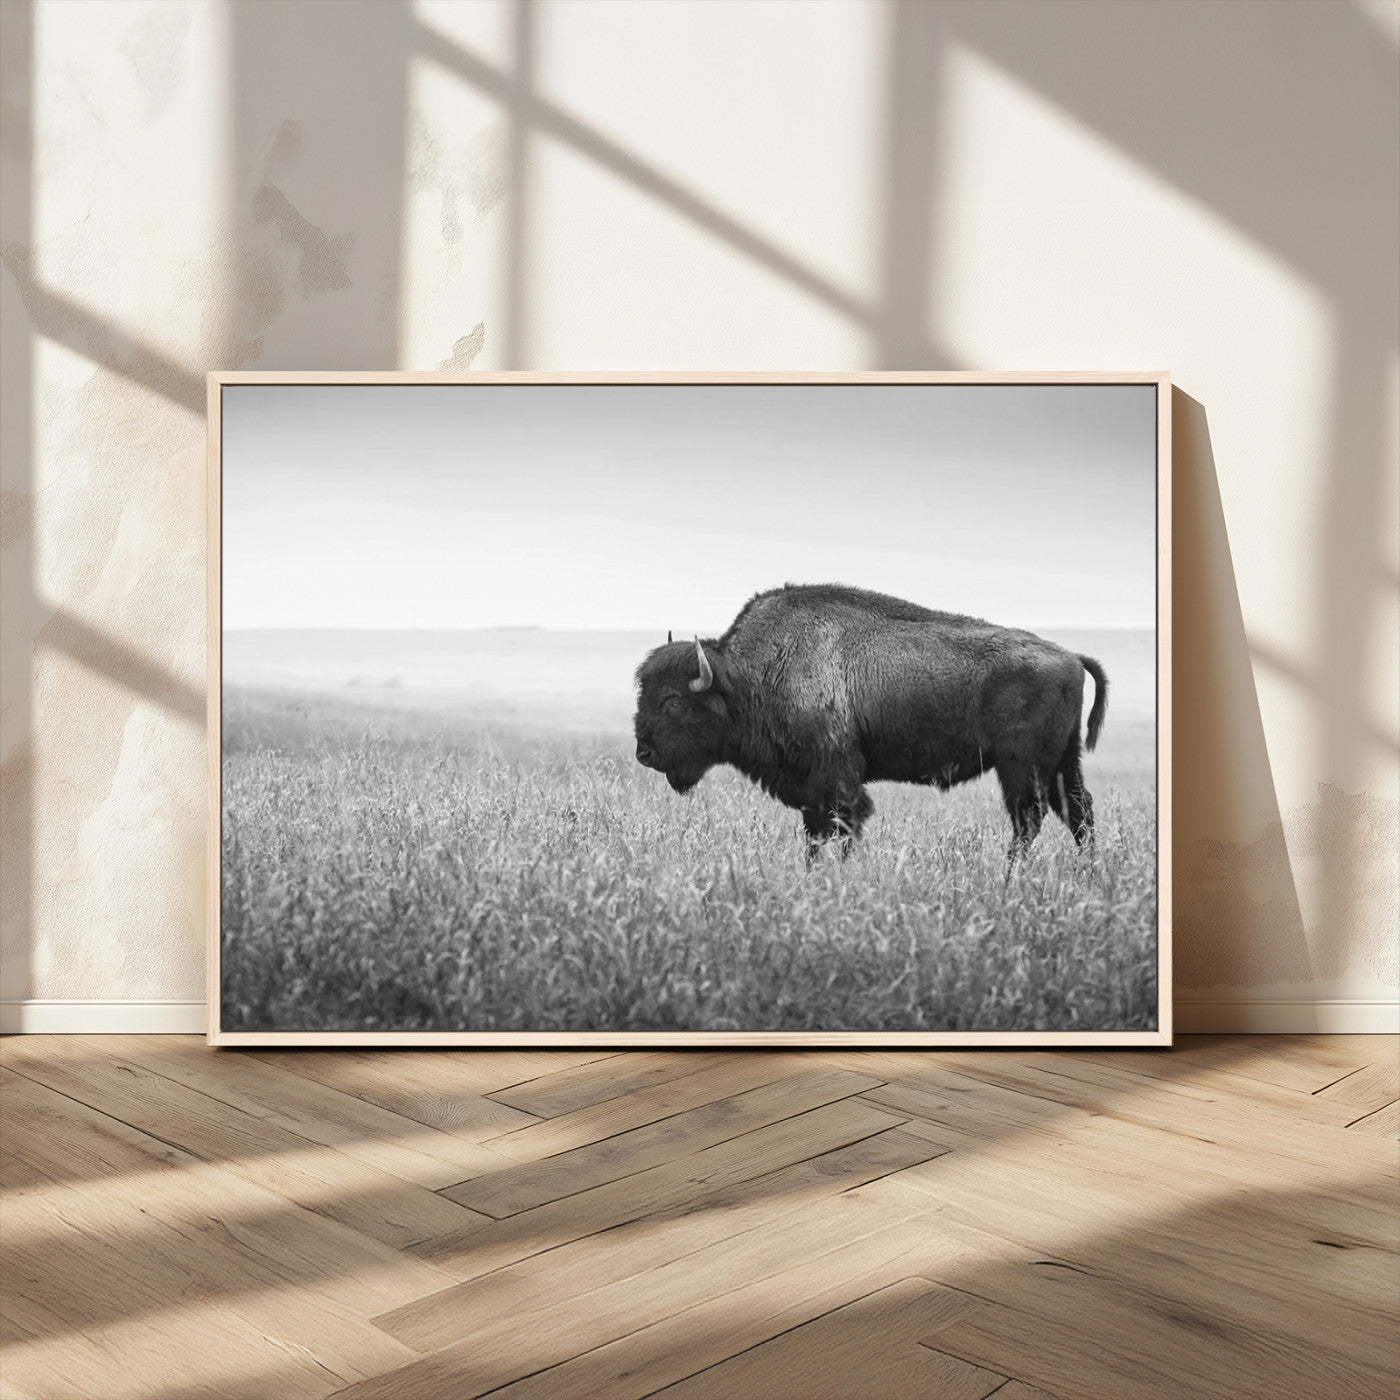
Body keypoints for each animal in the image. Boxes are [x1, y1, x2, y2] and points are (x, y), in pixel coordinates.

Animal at [633, 583, 1108, 860]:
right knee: (1078, 813)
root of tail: (1070, 656)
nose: (644, 753)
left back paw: (1011, 875)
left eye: (672, 702)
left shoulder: (836, 780)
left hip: (1021, 766)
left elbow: (842, 827)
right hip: (1062, 763)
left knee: (1029, 818)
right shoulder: (811, 791)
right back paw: (1087, 874)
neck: (749, 676)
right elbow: (815, 835)